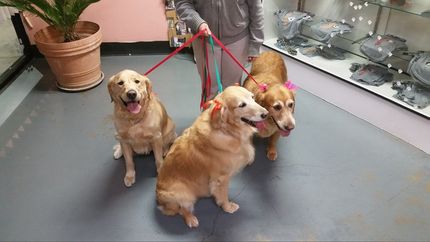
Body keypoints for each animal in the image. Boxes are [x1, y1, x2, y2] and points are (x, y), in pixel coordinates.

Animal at [155, 86, 268, 228]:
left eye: (253, 97)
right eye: (242, 105)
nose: (266, 114)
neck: (227, 130)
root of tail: (158, 200)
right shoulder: (221, 178)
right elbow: (223, 196)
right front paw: (228, 207)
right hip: (183, 194)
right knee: (182, 210)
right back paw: (191, 219)